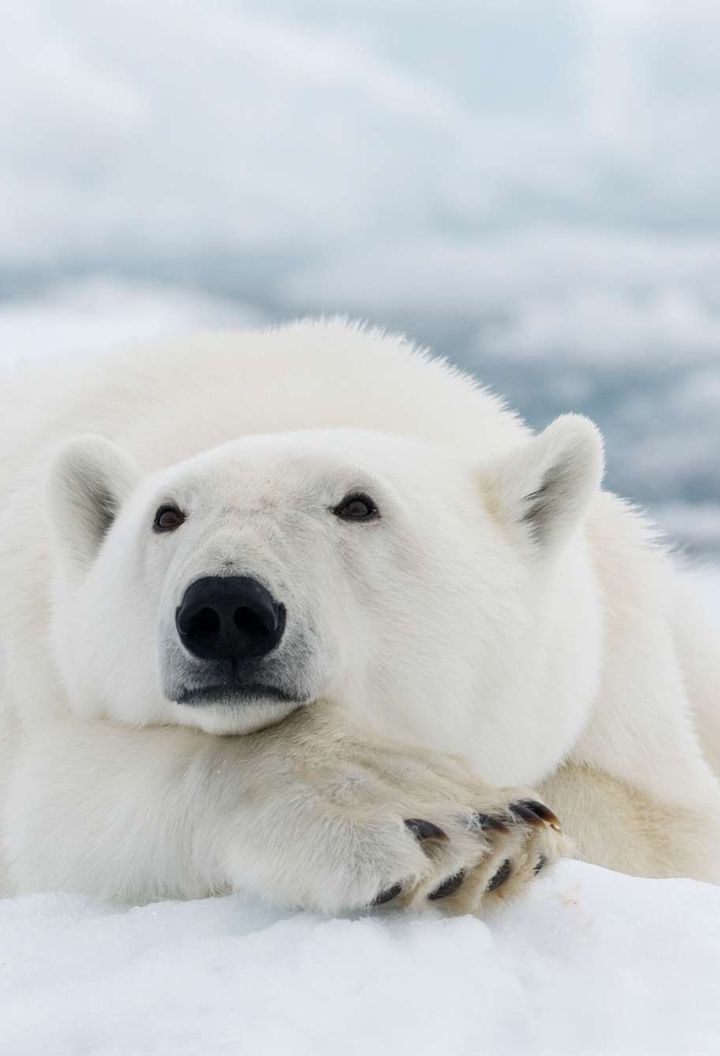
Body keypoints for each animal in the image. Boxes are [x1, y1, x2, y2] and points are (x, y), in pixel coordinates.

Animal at [0, 318, 718, 912]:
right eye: (167, 515)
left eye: (358, 504)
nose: (226, 606)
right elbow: (56, 799)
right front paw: (445, 821)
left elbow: (661, 830)